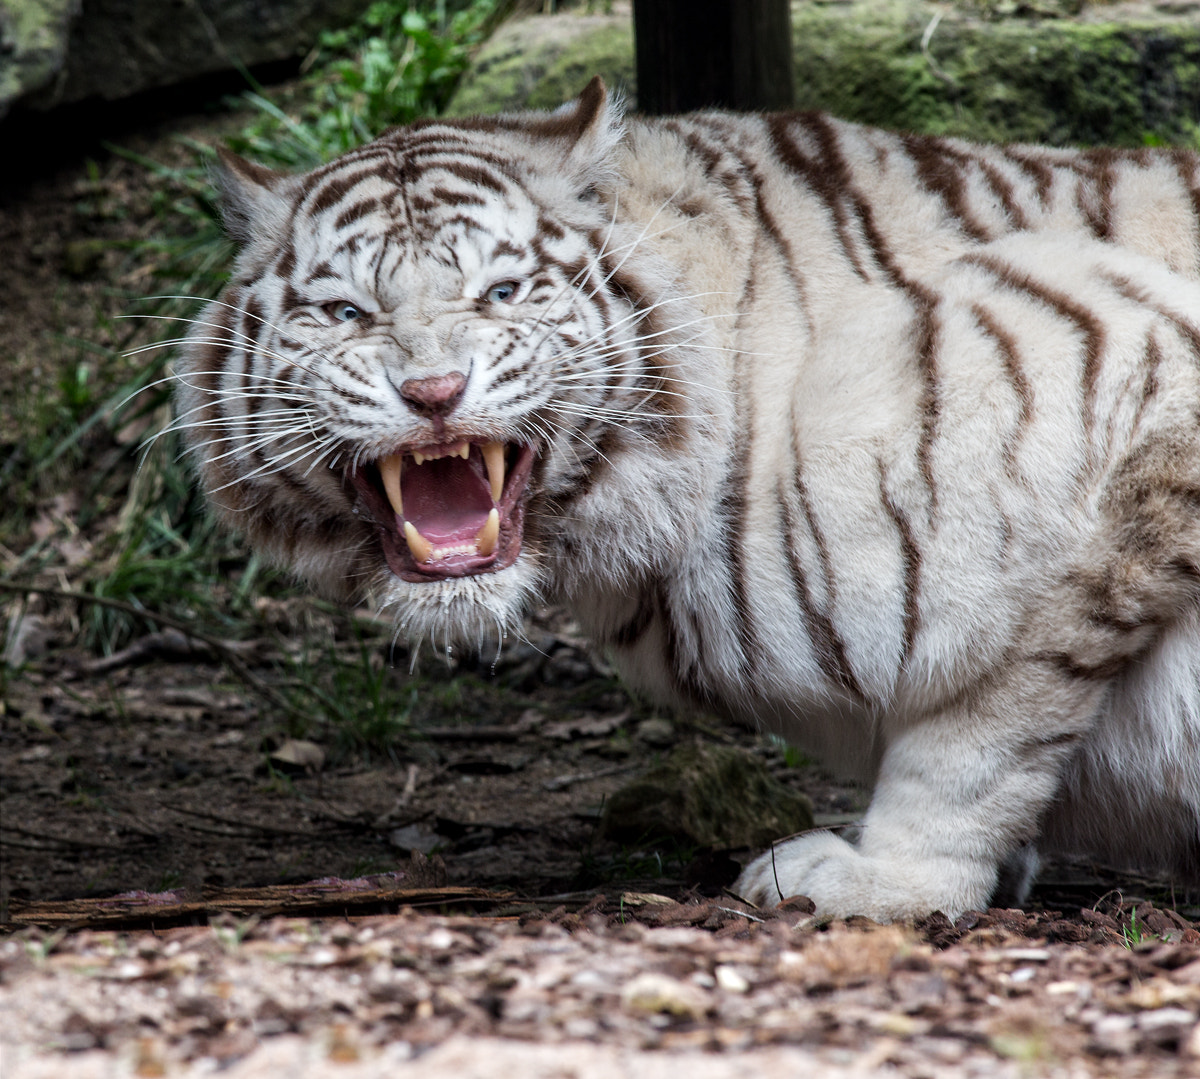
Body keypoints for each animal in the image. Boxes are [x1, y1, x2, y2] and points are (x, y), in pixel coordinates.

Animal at [177, 78, 1200, 921]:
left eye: (502, 291)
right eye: (346, 312)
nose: (433, 392)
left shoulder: (1134, 377)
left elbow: (988, 720)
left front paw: (889, 881)